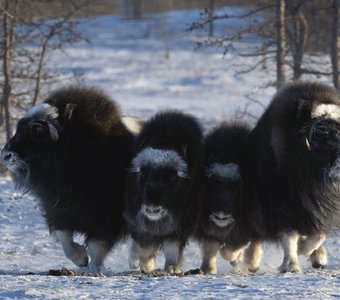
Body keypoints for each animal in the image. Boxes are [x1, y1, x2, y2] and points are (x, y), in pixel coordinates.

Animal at [0, 85, 135, 274]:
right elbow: (65, 239)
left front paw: (93, 269)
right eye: (19, 127)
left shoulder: (106, 217)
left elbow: (96, 245)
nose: (5, 155)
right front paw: (81, 259)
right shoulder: (59, 211)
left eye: (38, 131)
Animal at [125, 109, 205, 274]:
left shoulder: (182, 222)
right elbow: (144, 241)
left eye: (172, 176)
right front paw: (146, 265)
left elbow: (172, 246)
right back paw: (134, 262)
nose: (152, 209)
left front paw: (172, 267)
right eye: (143, 172)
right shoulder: (138, 217)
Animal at [197, 121, 252, 274]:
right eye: (210, 184)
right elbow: (210, 246)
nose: (221, 216)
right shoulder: (206, 226)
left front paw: (234, 258)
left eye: (238, 187)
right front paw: (208, 269)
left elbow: (231, 249)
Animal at [243, 81, 340, 274]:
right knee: (256, 237)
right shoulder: (282, 206)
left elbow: (319, 234)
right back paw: (252, 263)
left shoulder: (325, 212)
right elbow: (289, 236)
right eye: (320, 133)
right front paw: (291, 265)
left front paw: (307, 251)